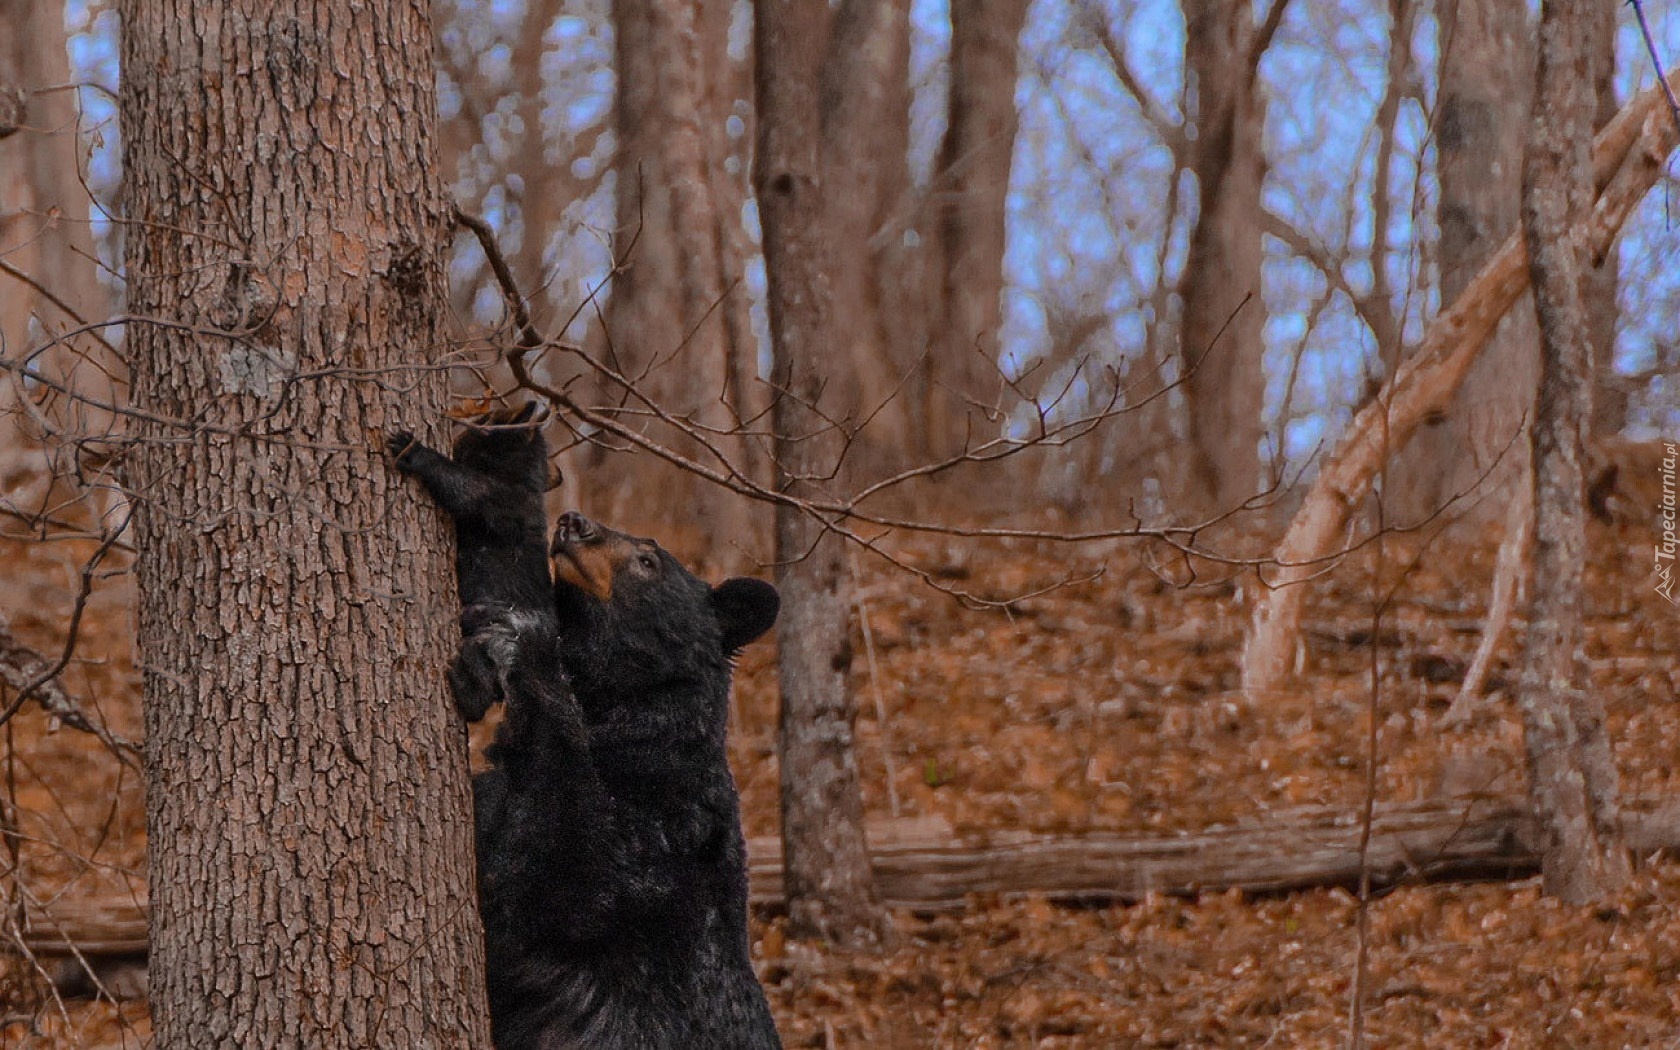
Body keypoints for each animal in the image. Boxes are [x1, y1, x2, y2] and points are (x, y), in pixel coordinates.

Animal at [386, 401, 551, 719]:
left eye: (487, 419)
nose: (533, 404)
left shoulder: (503, 503)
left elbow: (467, 491)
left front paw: (412, 449)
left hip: (495, 630)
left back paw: (465, 685)